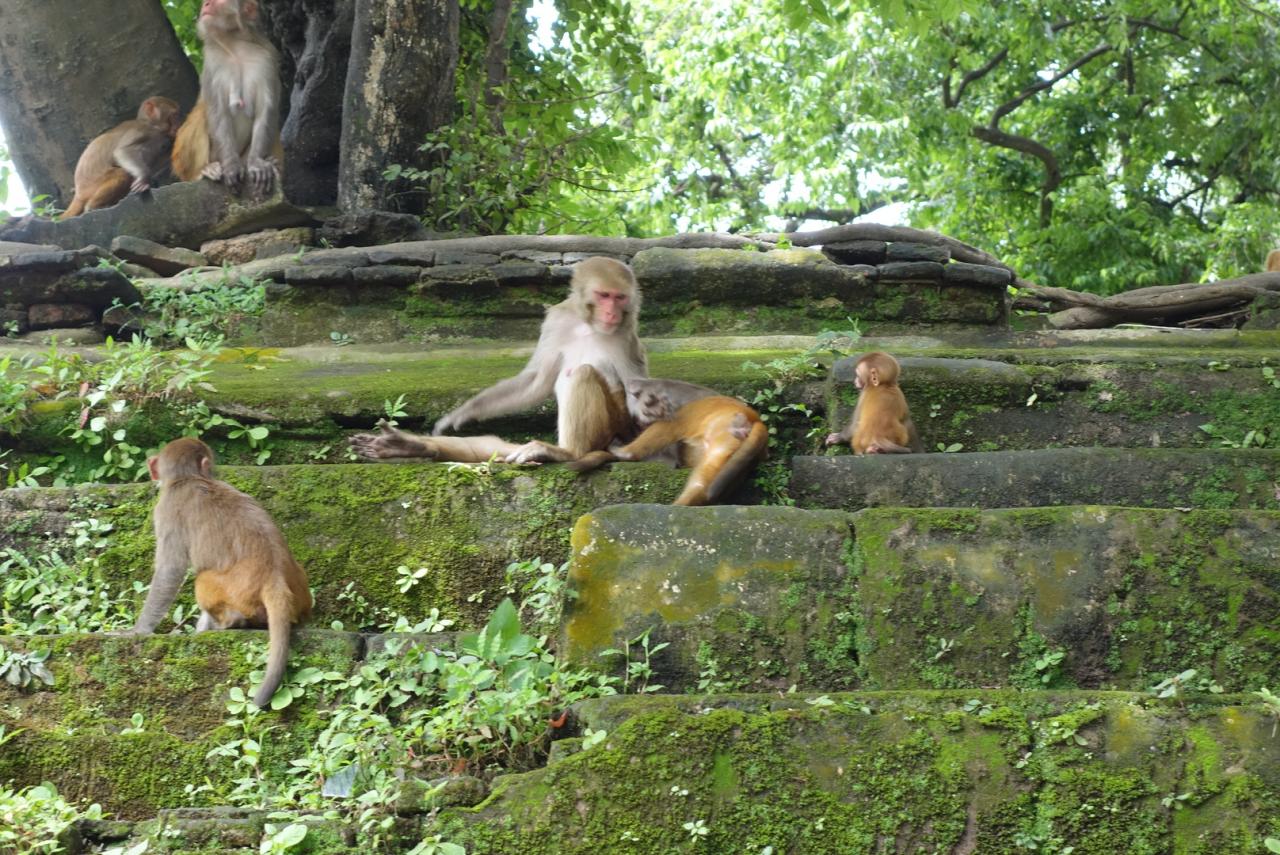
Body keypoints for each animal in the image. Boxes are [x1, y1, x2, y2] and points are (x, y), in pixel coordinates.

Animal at [130, 435, 312, 706]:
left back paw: (230, 622)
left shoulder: (166, 509)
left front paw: (139, 631)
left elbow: (170, 569)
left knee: (203, 579)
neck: (188, 478)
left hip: (231, 591)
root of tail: (275, 577)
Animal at [171, 0, 284, 195]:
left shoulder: (267, 57)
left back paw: (271, 162)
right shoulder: (212, 61)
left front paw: (257, 163)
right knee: (201, 112)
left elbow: (266, 110)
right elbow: (218, 111)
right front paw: (231, 166)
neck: (234, 45)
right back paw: (203, 171)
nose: (206, 4)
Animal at [350, 257, 645, 463]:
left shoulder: (625, 338)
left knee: (583, 373)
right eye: (604, 296)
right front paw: (465, 411)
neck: (588, 325)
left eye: (619, 298)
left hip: (613, 430)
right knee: (494, 446)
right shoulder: (557, 320)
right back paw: (410, 446)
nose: (612, 313)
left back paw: (568, 453)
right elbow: (536, 382)